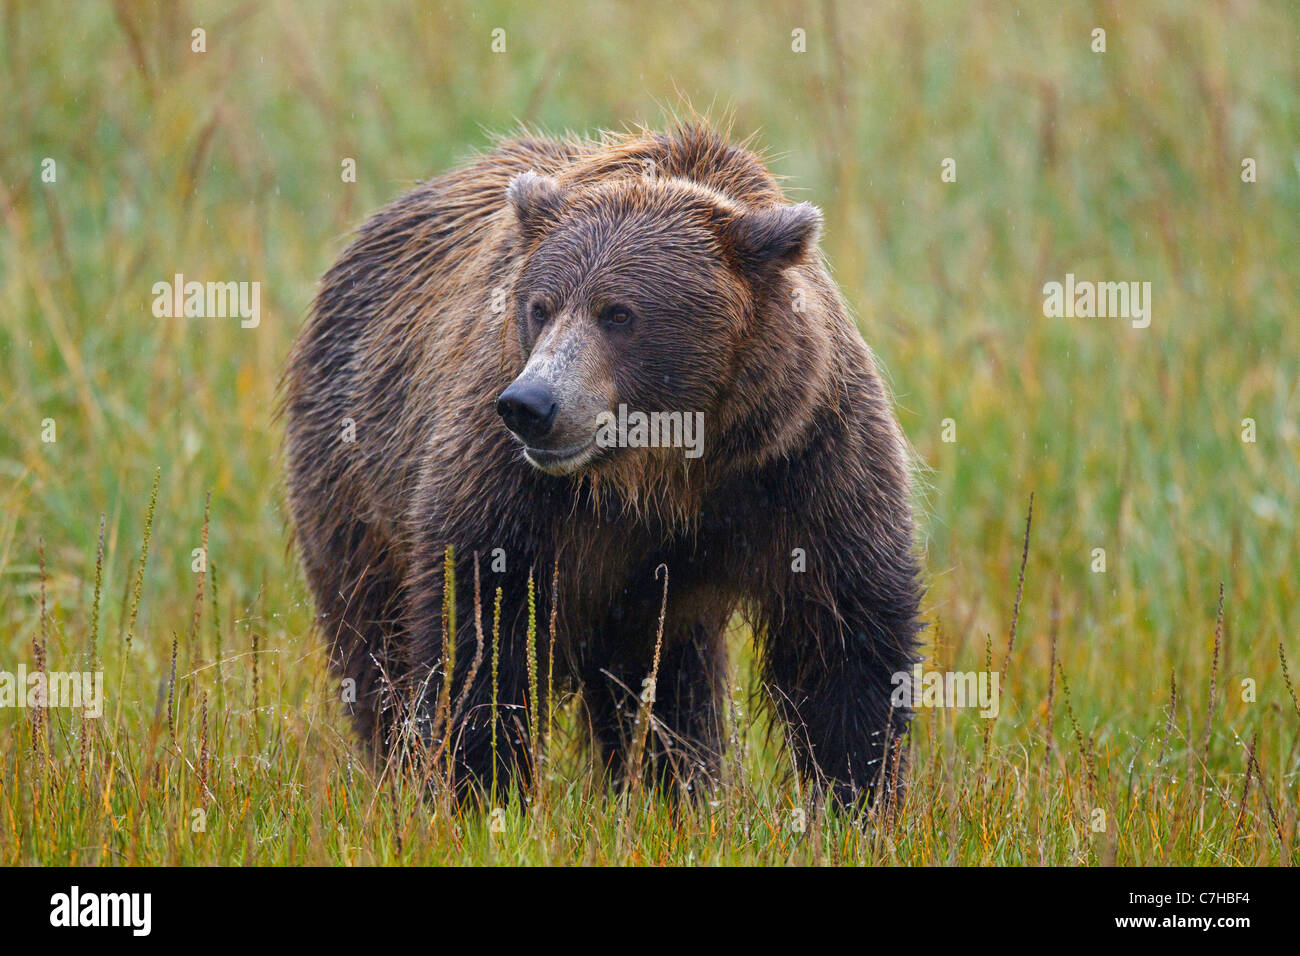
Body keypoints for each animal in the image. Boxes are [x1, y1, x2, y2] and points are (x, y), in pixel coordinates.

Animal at [282, 119, 925, 806]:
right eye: (540, 305)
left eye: (619, 313)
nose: (531, 405)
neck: (663, 471)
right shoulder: (510, 483)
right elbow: (484, 631)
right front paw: (481, 787)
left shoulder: (802, 460)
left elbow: (845, 641)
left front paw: (857, 798)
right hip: (353, 478)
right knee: (374, 640)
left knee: (667, 682)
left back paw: (676, 788)